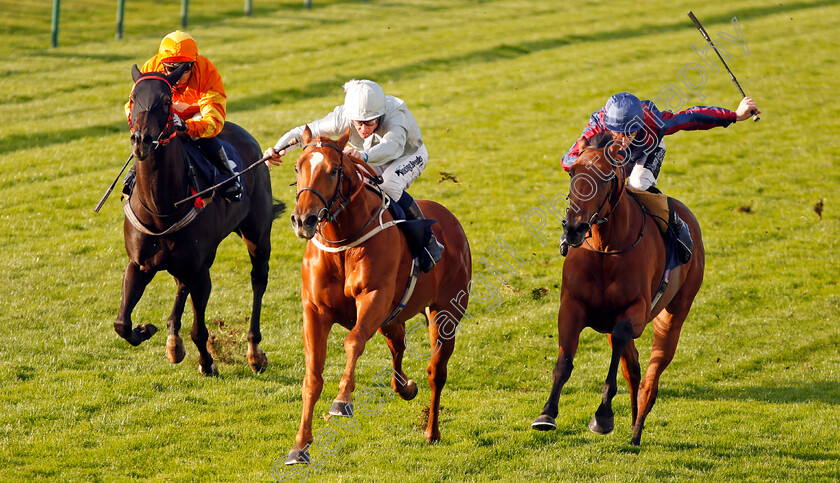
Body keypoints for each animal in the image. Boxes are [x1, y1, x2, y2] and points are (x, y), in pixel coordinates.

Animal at [113, 63, 284, 374]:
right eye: (133, 97)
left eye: (165, 101)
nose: (141, 139)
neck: (161, 209)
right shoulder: (139, 264)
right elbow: (122, 323)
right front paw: (146, 329)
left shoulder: (200, 269)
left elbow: (199, 330)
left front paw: (207, 362)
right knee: (181, 285)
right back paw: (172, 340)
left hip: (257, 234)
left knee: (258, 278)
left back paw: (254, 351)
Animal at [280, 126, 466, 464]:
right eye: (298, 167)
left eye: (334, 170)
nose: (303, 220)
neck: (343, 242)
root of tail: (452, 223)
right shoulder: (315, 312)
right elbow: (312, 377)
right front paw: (300, 446)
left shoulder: (374, 298)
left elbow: (352, 342)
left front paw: (342, 401)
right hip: (392, 319)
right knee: (399, 348)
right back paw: (405, 388)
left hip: (445, 314)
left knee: (436, 371)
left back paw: (431, 431)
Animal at [536, 131, 704, 446]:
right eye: (573, 173)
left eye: (604, 176)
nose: (574, 229)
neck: (605, 249)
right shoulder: (572, 307)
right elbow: (564, 361)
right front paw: (547, 414)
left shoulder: (634, 312)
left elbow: (620, 340)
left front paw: (603, 416)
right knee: (634, 368)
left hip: (674, 313)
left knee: (650, 377)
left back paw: (636, 433)